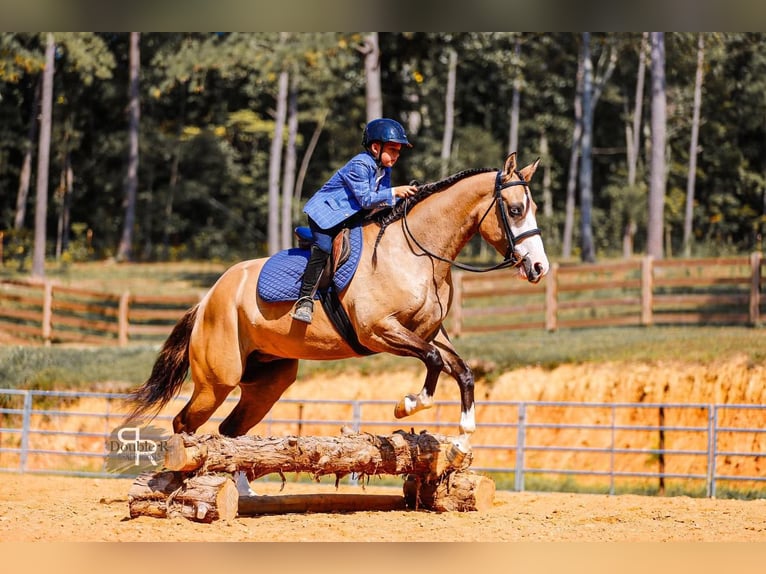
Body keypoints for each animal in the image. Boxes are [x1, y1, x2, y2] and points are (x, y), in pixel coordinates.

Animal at [127, 152, 549, 475]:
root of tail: (207, 300)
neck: (418, 253)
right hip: (217, 380)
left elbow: (461, 371)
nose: (538, 268)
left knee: (231, 430)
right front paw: (408, 405)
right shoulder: (379, 330)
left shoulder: (430, 332)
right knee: (184, 423)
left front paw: (461, 441)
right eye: (515, 210)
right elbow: (431, 362)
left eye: (534, 209)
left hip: (268, 381)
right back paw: (178, 478)